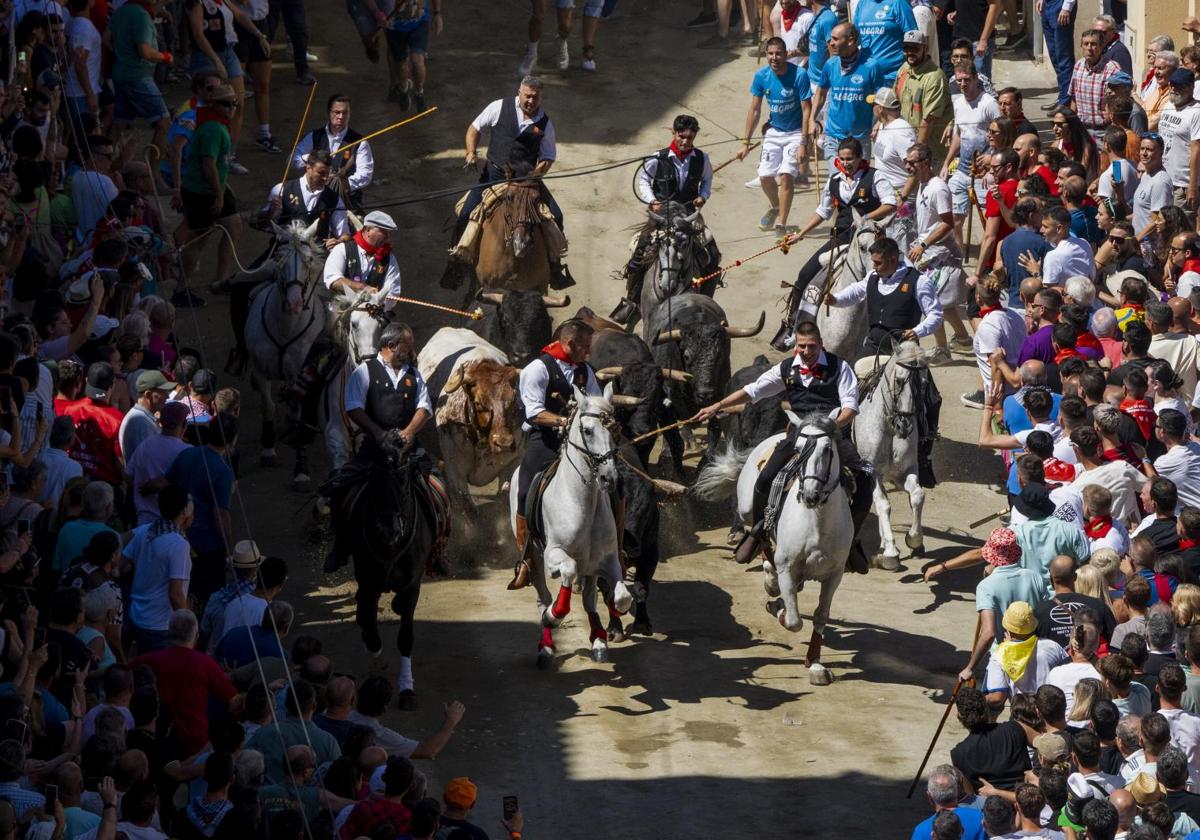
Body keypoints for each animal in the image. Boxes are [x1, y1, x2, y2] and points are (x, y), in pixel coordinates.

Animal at [244, 219, 328, 489]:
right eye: (279, 258)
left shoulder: (299, 375)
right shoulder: (261, 369)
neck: (285, 328)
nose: (294, 303)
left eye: (308, 259)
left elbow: (298, 412)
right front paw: (268, 449)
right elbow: (267, 406)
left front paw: (301, 471)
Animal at [321, 432, 448, 710]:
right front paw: (376, 663)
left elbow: (405, 636)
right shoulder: (368, 583)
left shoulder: (412, 585)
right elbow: (370, 627)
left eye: (402, 480)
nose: (389, 530)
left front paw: (407, 689)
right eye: (375, 479)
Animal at [506, 386, 638, 667]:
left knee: (589, 600)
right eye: (587, 430)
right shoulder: (553, 553)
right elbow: (566, 572)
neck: (581, 502)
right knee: (542, 597)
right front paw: (554, 615)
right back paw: (546, 645)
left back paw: (598, 639)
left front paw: (606, 632)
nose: (610, 478)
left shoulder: (607, 560)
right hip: (533, 556)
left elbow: (621, 598)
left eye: (614, 428)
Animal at [696, 410, 854, 686]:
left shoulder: (834, 575)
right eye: (798, 449)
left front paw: (815, 665)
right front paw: (777, 606)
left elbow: (821, 615)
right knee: (761, 536)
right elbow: (793, 620)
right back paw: (770, 581)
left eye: (826, 449)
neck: (818, 523)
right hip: (748, 510)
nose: (810, 495)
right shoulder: (787, 567)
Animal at [854, 340, 926, 571]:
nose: (905, 426)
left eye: (923, 382)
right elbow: (884, 505)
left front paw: (914, 539)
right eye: (899, 380)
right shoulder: (872, 473)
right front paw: (891, 553)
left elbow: (918, 495)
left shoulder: (905, 472)